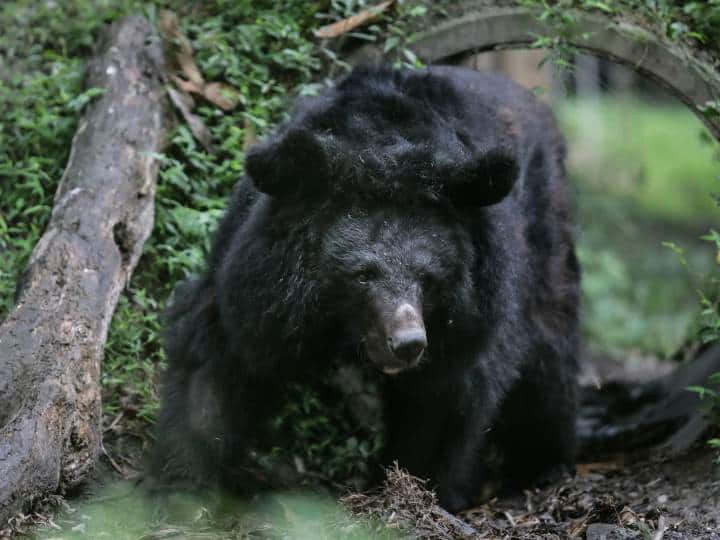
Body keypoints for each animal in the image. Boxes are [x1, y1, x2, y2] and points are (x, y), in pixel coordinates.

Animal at [152, 63, 580, 510]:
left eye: (427, 278)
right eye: (362, 274)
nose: (408, 343)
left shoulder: (469, 314)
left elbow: (446, 397)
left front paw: (415, 489)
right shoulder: (255, 282)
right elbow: (218, 362)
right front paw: (182, 486)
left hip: (543, 236)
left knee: (548, 350)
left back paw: (542, 465)